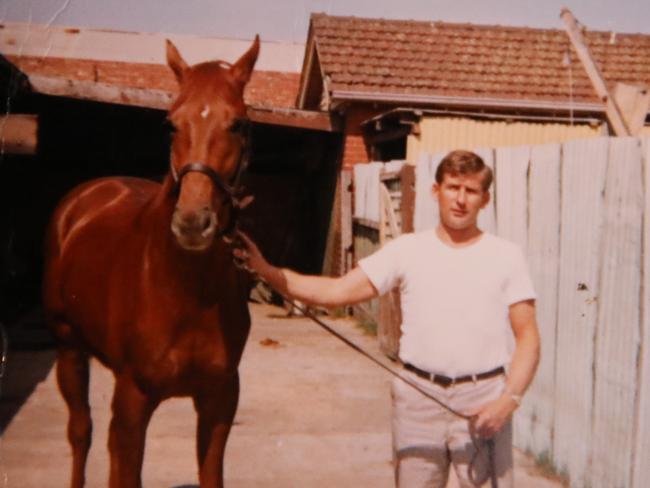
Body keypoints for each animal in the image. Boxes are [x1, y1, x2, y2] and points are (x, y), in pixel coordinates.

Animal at [39, 35, 258, 488]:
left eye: (238, 124)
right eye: (171, 124)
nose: (193, 223)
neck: (187, 292)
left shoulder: (220, 400)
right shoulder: (133, 400)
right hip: (69, 350)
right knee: (81, 432)